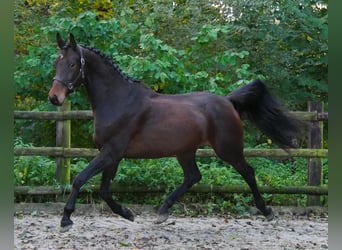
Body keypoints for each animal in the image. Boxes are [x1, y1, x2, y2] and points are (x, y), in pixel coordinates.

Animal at [47, 33, 302, 229]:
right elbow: (104, 190)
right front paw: (128, 213)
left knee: (248, 172)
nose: (54, 98)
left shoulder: (111, 152)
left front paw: (66, 219)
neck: (118, 100)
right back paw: (163, 212)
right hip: (185, 151)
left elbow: (80, 179)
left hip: (228, 150)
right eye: (56, 63)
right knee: (193, 177)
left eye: (72, 64)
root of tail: (228, 102)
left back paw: (267, 211)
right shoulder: (112, 155)